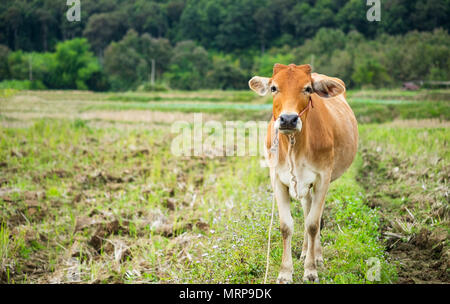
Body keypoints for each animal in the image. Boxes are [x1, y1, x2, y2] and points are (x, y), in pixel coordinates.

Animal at [248, 63, 356, 282]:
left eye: (307, 89)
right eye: (274, 88)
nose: (288, 119)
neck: (294, 146)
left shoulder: (323, 178)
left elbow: (313, 224)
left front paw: (311, 270)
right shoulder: (277, 179)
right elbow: (286, 226)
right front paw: (285, 272)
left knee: (313, 217)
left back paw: (316, 256)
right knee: (307, 209)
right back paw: (306, 251)